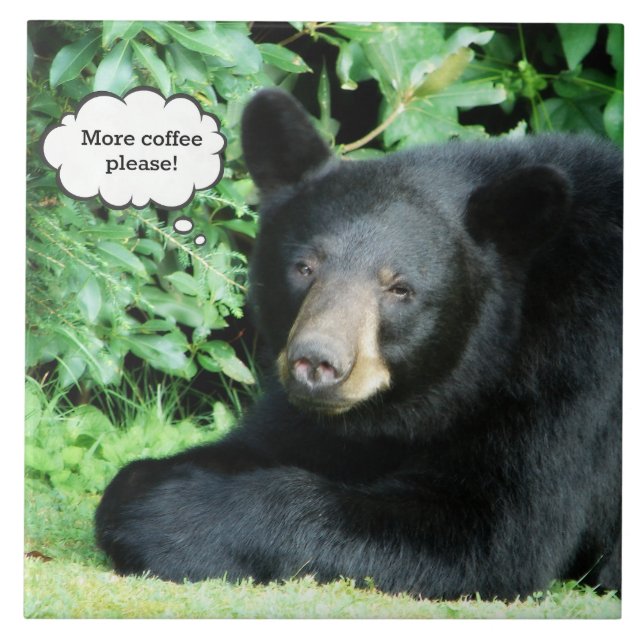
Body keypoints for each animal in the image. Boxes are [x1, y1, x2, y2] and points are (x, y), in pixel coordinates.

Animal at [95, 88, 622, 600]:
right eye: (304, 266)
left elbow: (496, 531)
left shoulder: (571, 371)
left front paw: (169, 513)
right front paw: (142, 483)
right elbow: (274, 440)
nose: (316, 363)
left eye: (400, 288)